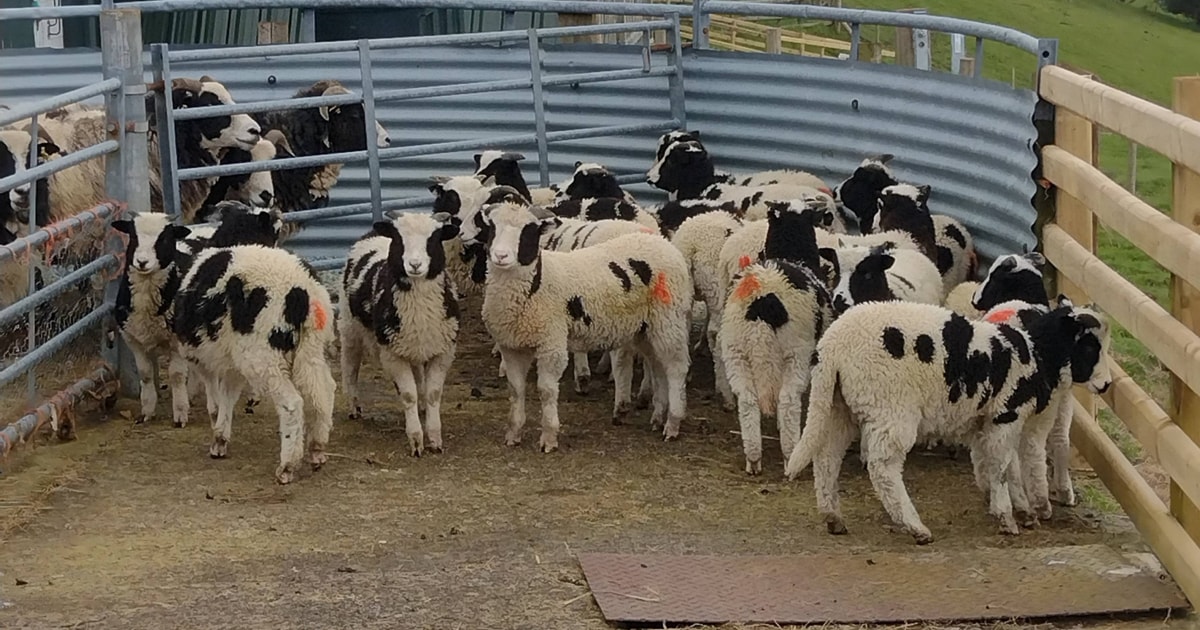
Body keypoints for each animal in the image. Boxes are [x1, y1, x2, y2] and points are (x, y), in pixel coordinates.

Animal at [171, 243, 336, 483]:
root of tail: (302, 291)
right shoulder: (231, 363)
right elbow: (227, 395)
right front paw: (221, 439)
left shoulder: (206, 360)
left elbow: (215, 398)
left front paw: (217, 434)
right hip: (311, 349)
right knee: (323, 392)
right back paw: (317, 450)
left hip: (263, 357)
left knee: (292, 404)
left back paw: (287, 467)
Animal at [339, 211, 461, 456]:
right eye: (399, 238)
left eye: (434, 238)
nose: (414, 264)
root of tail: (373, 232)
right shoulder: (392, 354)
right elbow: (408, 395)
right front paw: (416, 441)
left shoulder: (443, 351)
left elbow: (433, 394)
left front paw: (435, 438)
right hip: (350, 327)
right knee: (350, 367)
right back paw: (354, 406)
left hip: (413, 345)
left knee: (418, 377)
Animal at [479, 201, 693, 449]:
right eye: (493, 227)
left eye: (529, 231)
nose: (500, 255)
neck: (539, 282)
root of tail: (664, 243)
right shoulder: (512, 345)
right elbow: (516, 389)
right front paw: (513, 434)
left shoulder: (551, 343)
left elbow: (546, 390)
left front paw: (549, 437)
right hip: (645, 329)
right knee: (659, 366)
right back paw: (658, 418)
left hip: (669, 319)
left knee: (676, 368)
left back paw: (672, 424)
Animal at [720, 202, 832, 474]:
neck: (793, 253)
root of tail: (764, 297)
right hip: (796, 351)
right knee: (788, 399)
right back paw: (789, 456)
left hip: (735, 350)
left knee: (747, 400)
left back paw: (753, 458)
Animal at [784, 300, 1111, 543]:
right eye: (1089, 347)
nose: (1107, 384)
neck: (1036, 355)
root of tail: (832, 347)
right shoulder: (1006, 415)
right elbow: (1002, 468)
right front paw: (1009, 517)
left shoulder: (993, 422)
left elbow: (1006, 467)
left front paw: (1021, 509)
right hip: (890, 408)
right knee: (882, 467)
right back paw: (915, 526)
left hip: (840, 407)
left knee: (826, 459)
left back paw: (833, 517)